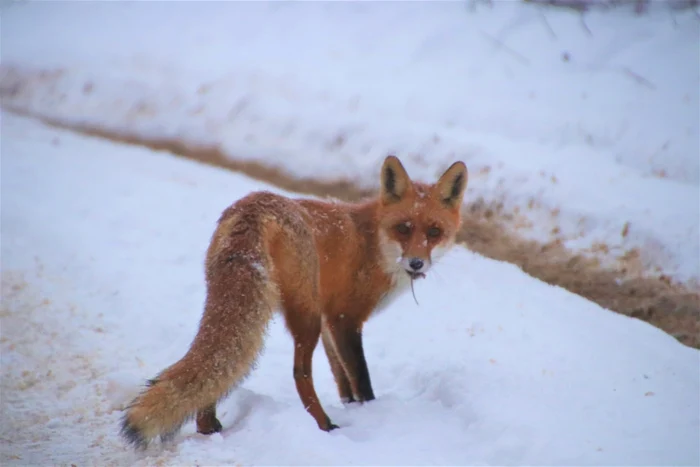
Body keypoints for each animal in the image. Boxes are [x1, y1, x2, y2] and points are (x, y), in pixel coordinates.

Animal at [121, 154, 470, 450]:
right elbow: (360, 378)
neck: (373, 244)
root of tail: (253, 206)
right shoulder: (344, 318)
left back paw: (209, 428)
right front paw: (369, 412)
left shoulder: (331, 323)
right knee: (299, 373)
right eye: (404, 228)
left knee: (215, 361)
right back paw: (324, 426)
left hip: (233, 303)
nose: (416, 263)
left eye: (434, 231)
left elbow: (342, 380)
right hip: (306, 316)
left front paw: (352, 408)